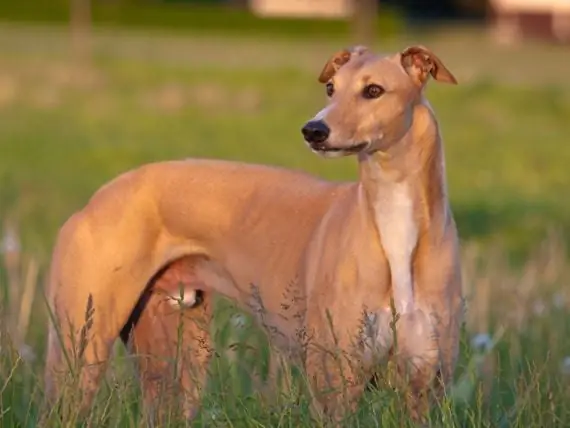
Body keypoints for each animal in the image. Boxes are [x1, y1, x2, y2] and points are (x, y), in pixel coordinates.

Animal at [43, 44, 462, 424]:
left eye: (374, 90)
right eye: (331, 88)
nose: (313, 130)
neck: (393, 229)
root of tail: (96, 199)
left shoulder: (425, 386)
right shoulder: (335, 386)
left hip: (176, 362)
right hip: (80, 351)